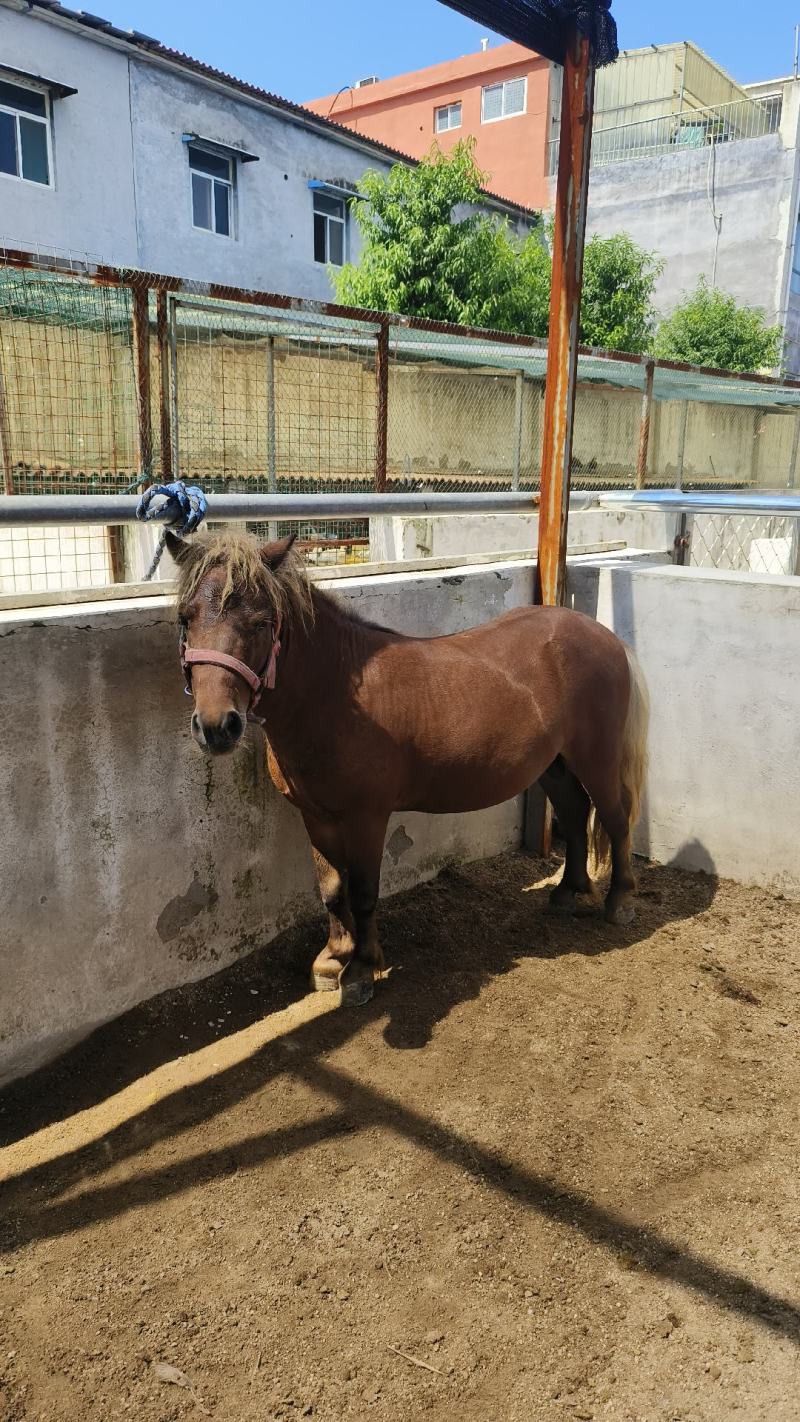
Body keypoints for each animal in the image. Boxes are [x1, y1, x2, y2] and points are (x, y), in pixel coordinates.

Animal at [167, 530, 649, 1005]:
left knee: (614, 817)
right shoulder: (315, 815)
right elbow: (332, 889)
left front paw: (362, 969)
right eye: (186, 618)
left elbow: (363, 893)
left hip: (597, 758)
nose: (217, 726)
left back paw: (621, 901)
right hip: (553, 765)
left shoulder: (366, 817)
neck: (336, 695)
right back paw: (568, 891)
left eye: (262, 622)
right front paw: (332, 960)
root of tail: (603, 636)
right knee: (574, 811)